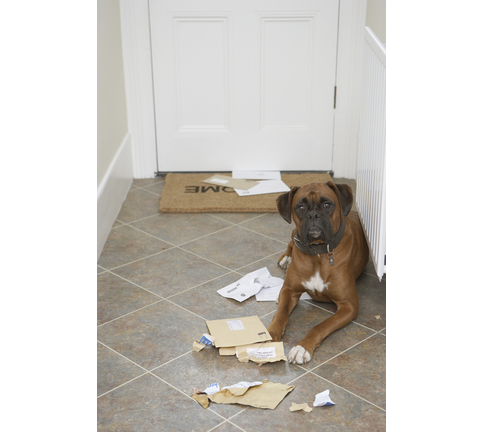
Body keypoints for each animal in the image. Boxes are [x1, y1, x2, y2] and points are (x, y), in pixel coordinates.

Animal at [266, 181, 368, 362]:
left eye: (327, 205)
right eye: (300, 207)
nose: (313, 215)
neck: (319, 253)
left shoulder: (348, 306)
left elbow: (320, 326)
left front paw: (302, 347)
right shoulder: (289, 290)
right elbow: (280, 314)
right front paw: (271, 335)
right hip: (294, 233)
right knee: (291, 242)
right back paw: (287, 258)